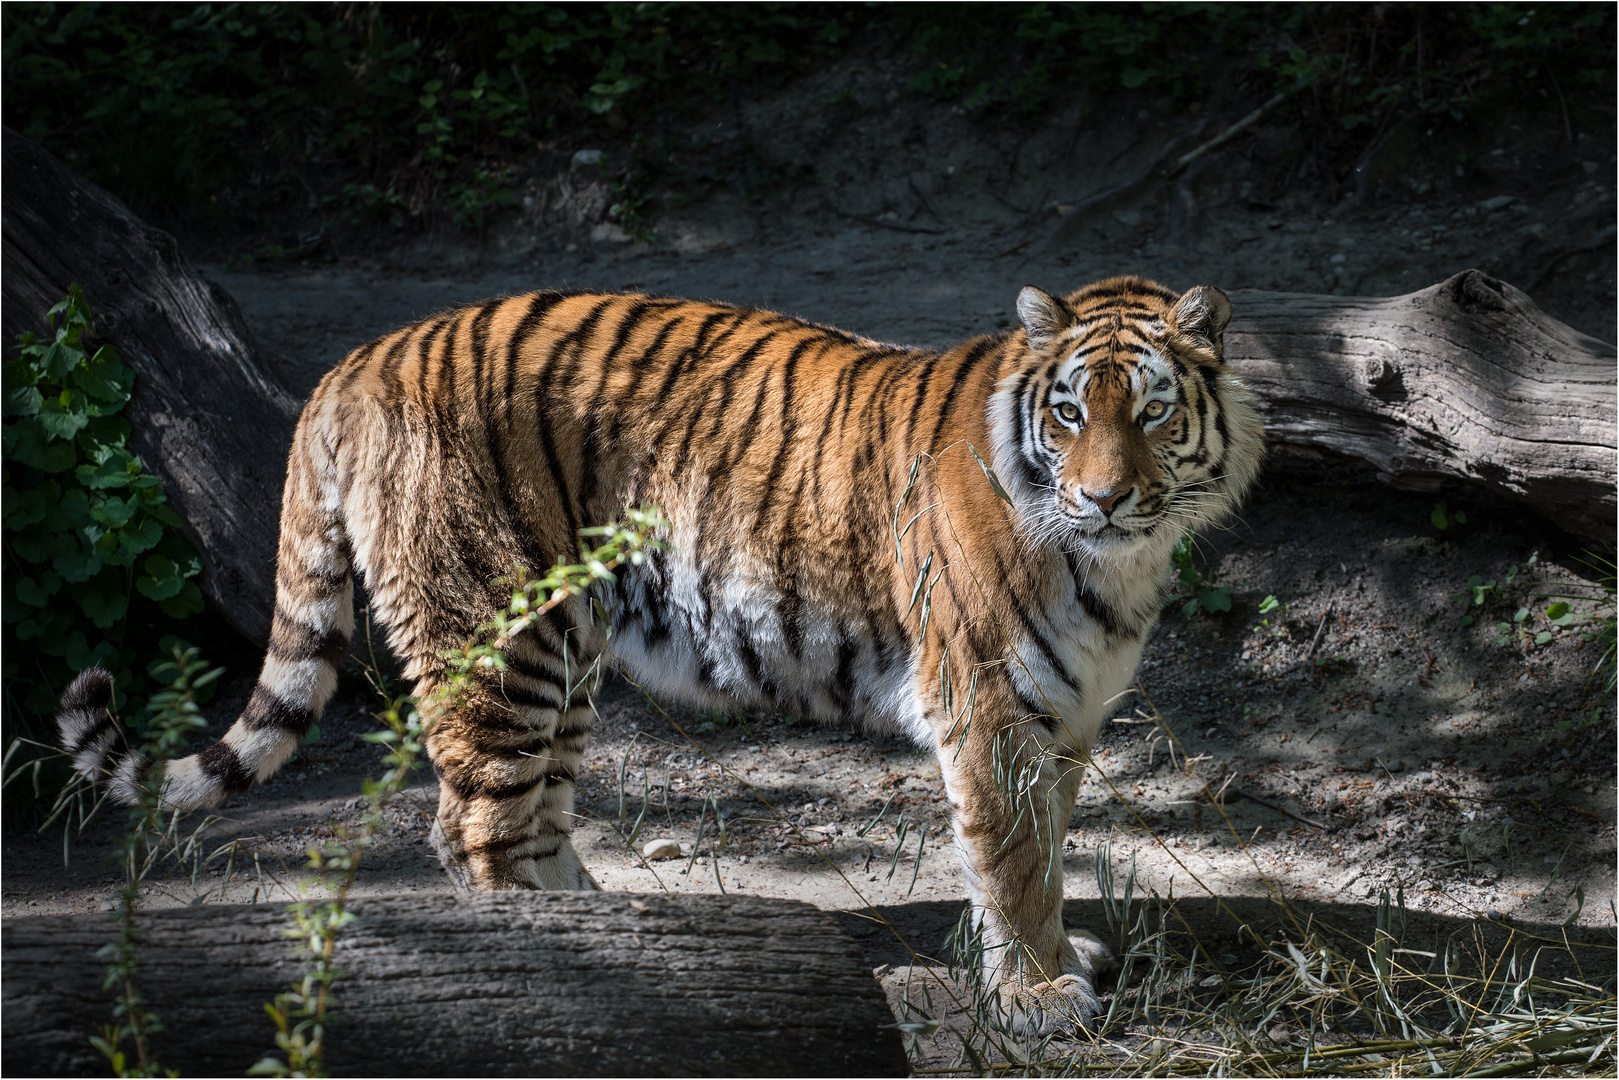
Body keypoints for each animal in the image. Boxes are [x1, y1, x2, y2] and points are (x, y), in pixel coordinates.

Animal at [59, 275, 1262, 1036]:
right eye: (1068, 416)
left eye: (1152, 413)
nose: (1102, 498)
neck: (1122, 561)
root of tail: (359, 358)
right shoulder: (991, 707)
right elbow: (1009, 862)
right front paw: (1032, 1001)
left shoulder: (1063, 716)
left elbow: (1045, 855)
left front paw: (1056, 964)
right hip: (496, 638)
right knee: (475, 831)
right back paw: (573, 983)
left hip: (565, 655)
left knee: (531, 820)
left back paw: (632, 937)